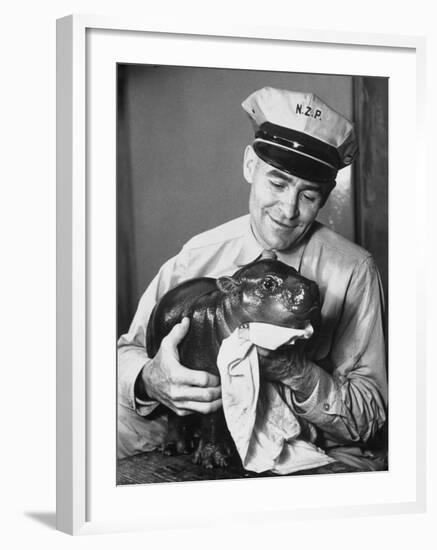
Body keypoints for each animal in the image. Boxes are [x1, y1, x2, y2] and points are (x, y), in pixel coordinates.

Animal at [146, 258, 320, 470]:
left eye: (294, 269)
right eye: (268, 283)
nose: (311, 287)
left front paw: (223, 452)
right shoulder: (209, 378)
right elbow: (212, 416)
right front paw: (212, 460)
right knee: (175, 412)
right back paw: (175, 448)